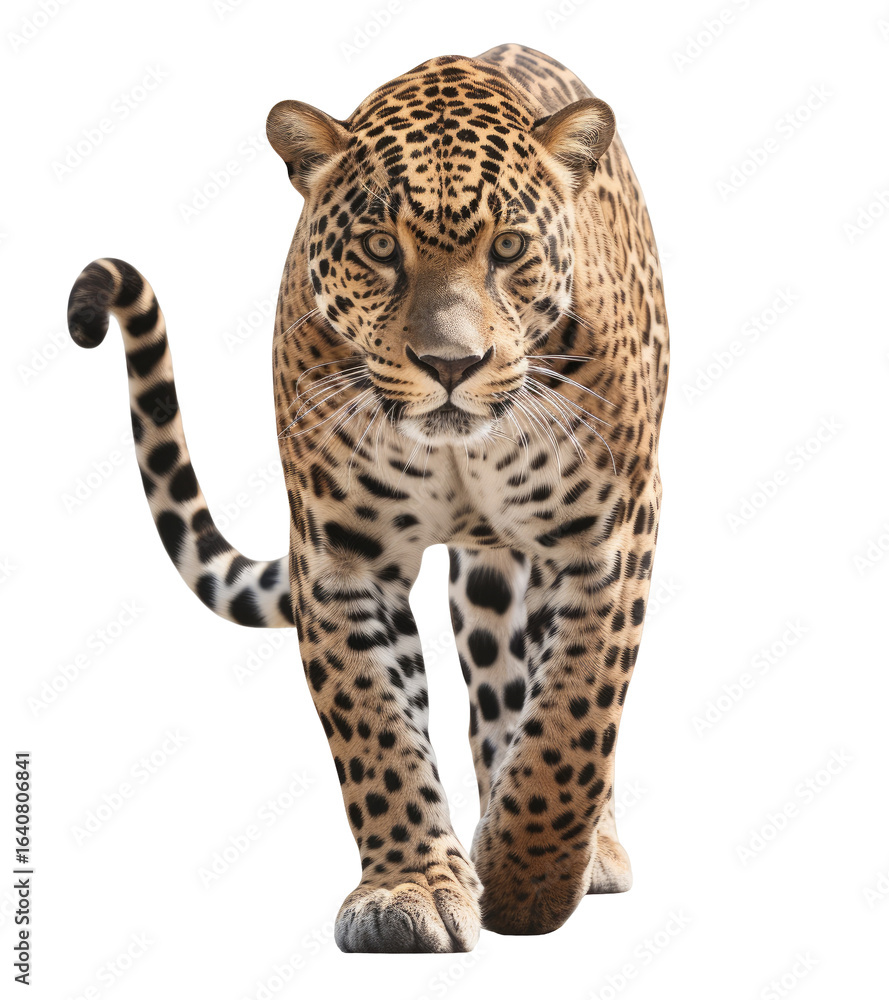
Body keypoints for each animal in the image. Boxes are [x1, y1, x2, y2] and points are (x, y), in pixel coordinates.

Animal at [66, 43, 669, 953]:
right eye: (382, 246)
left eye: (509, 247)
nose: (451, 365)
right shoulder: (339, 556)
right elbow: (375, 727)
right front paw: (410, 887)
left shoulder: (604, 536)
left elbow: (572, 716)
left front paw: (526, 880)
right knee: (492, 691)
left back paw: (578, 843)